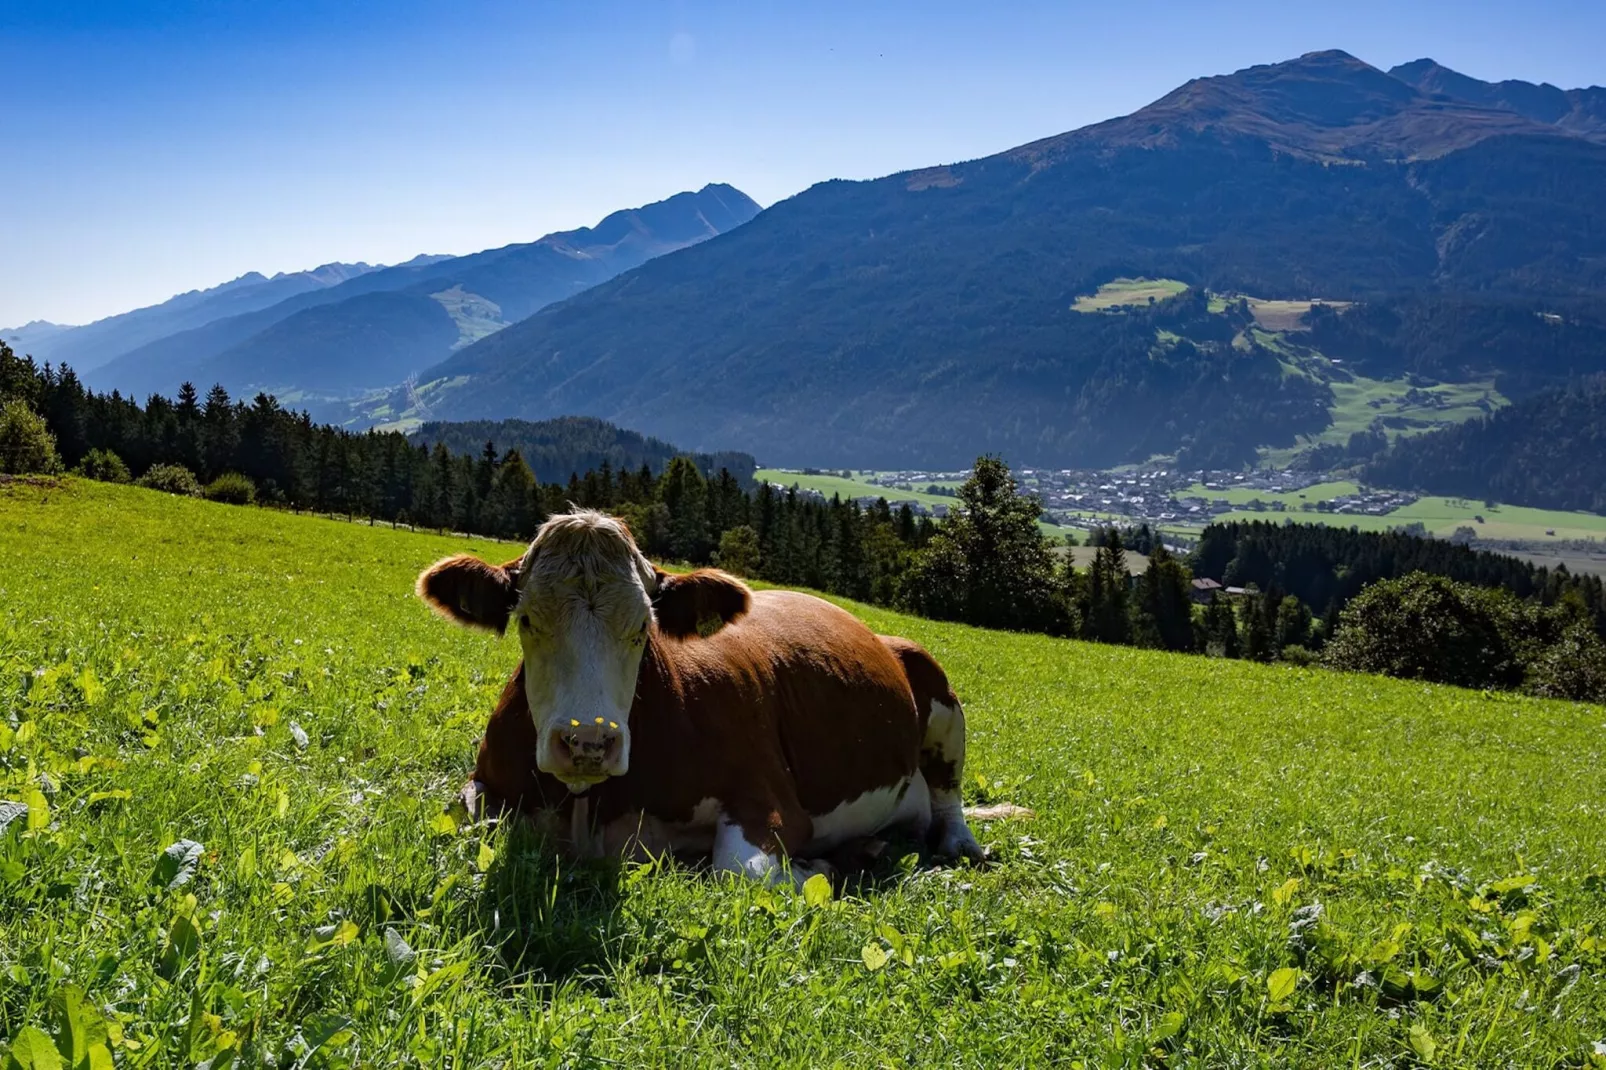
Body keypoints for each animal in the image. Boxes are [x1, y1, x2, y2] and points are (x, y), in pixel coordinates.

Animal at [414, 510, 989, 880]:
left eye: (644, 627)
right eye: (527, 620)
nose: (588, 743)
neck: (588, 805)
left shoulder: (770, 800)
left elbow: (741, 871)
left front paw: (822, 865)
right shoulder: (485, 783)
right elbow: (463, 813)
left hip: (936, 686)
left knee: (948, 798)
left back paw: (956, 846)